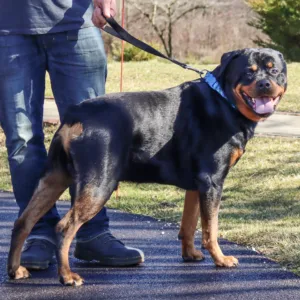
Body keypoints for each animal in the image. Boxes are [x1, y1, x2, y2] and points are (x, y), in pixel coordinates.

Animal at [7, 48, 286, 284]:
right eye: (248, 71)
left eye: (274, 71)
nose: (265, 84)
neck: (224, 99)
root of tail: (75, 116)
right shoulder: (212, 180)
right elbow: (211, 228)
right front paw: (221, 259)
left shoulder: (197, 184)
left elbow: (190, 223)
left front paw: (190, 254)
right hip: (99, 183)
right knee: (64, 227)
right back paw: (67, 276)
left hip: (54, 177)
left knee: (23, 220)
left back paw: (15, 270)